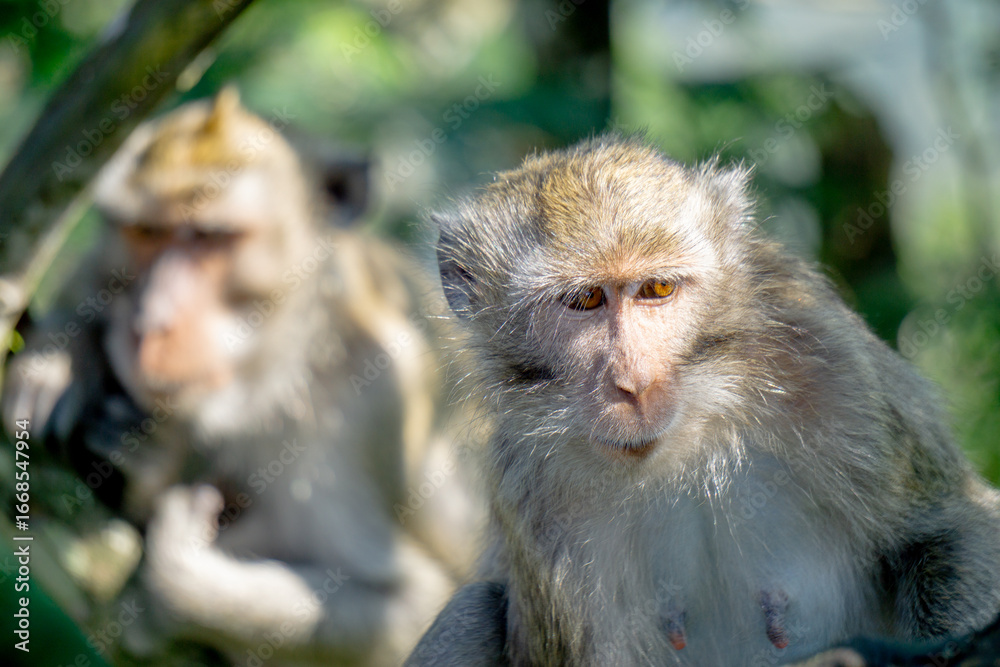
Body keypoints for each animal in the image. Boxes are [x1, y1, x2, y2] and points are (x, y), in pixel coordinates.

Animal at [2, 88, 483, 666]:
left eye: (214, 237)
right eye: (146, 233)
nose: (152, 320)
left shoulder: (371, 402)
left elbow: (414, 604)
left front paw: (178, 586)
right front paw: (56, 360)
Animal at [406, 134, 1000, 666]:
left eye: (657, 290)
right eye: (585, 300)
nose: (635, 383)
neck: (691, 437)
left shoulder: (839, 375)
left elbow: (952, 530)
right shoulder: (533, 491)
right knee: (472, 610)